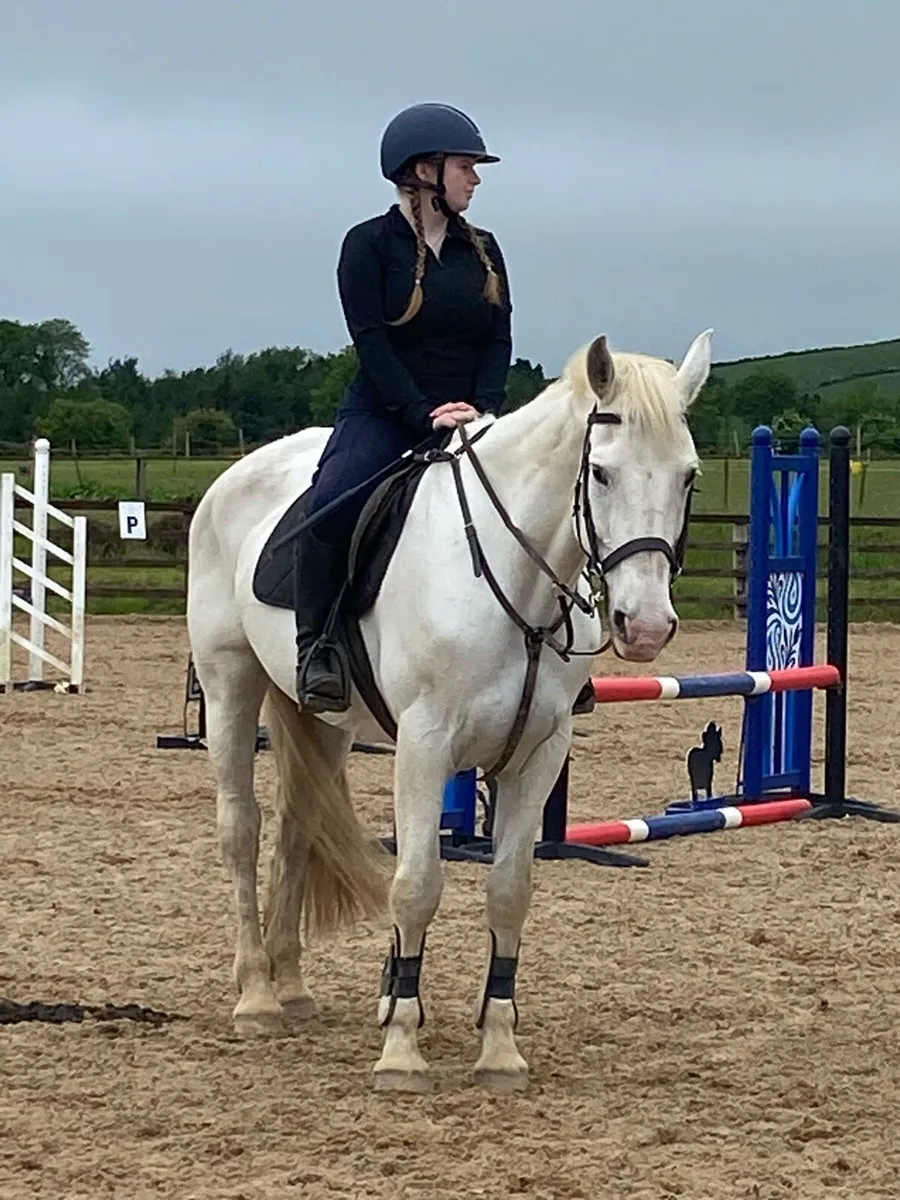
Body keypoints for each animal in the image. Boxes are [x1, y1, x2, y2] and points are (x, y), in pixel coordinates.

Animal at [185, 329, 712, 1093]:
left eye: (689, 476)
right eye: (602, 473)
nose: (644, 626)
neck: (513, 580)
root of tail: (235, 477)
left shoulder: (538, 755)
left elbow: (509, 890)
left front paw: (499, 1049)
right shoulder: (425, 745)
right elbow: (417, 885)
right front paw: (402, 1047)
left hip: (323, 722)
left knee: (297, 827)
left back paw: (292, 985)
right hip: (230, 682)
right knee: (242, 829)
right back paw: (256, 995)